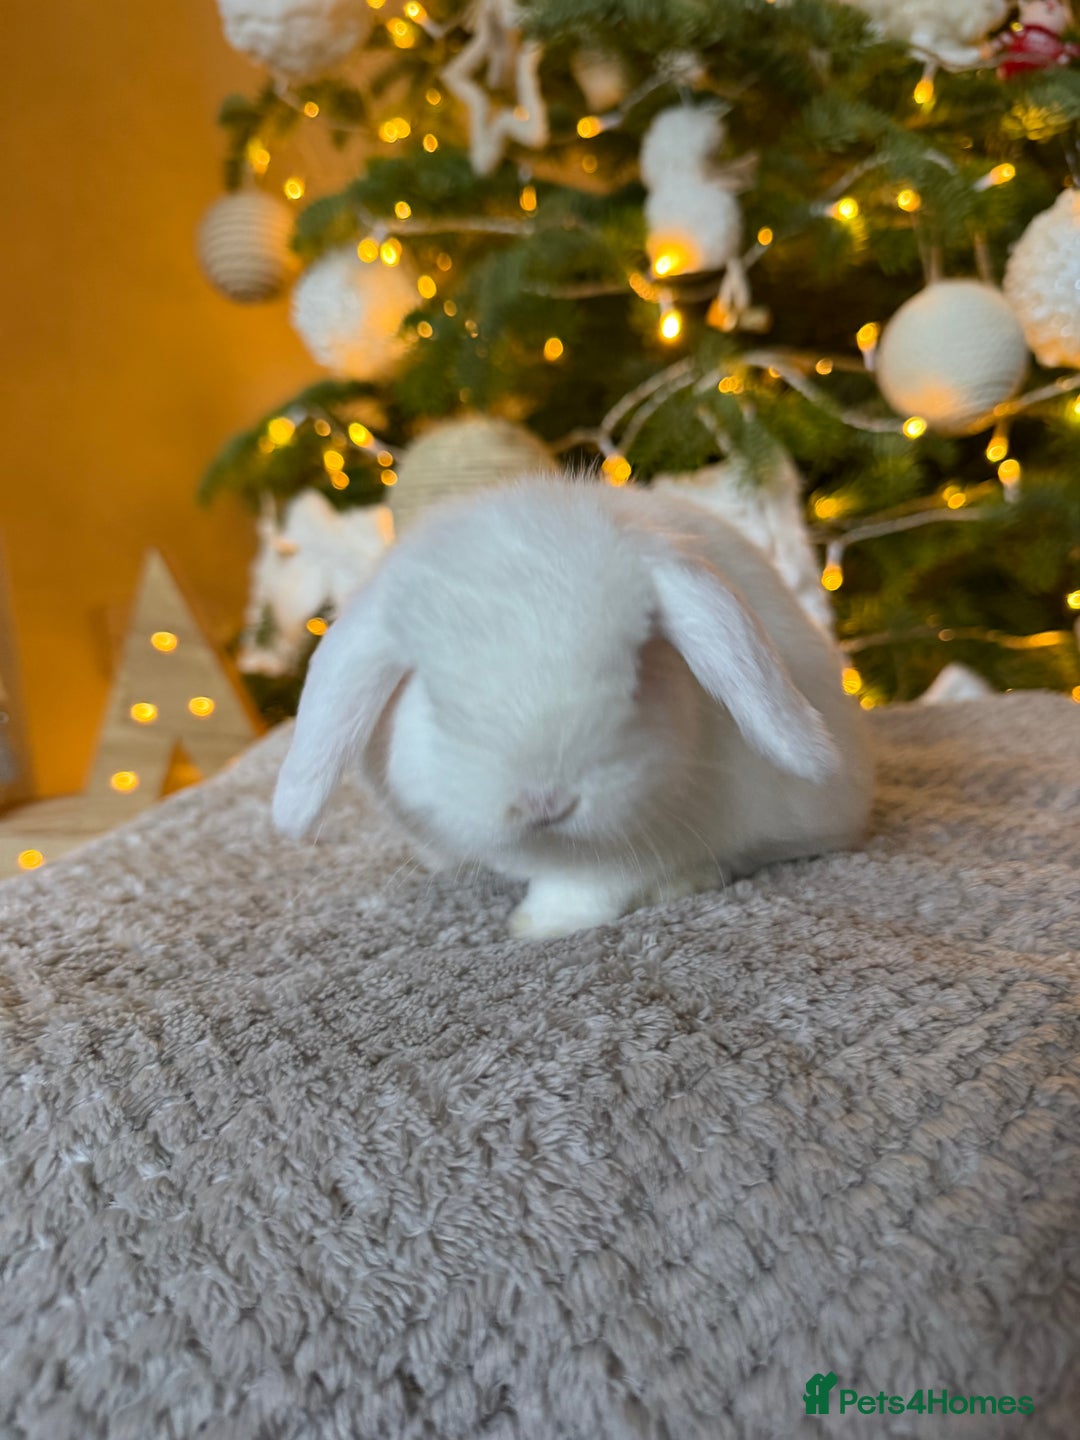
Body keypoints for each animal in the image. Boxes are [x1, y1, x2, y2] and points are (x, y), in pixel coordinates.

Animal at [272, 476, 874, 940]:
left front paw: (537, 927)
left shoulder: (630, 844)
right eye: (435, 699)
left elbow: (587, 888)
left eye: (637, 666)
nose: (545, 802)